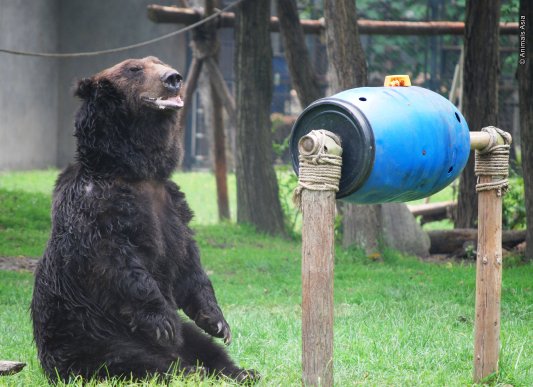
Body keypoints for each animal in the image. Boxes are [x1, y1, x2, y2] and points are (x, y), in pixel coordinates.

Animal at [30, 56, 258, 384]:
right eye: (134, 69)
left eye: (159, 61)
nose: (173, 78)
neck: (136, 172)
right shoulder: (95, 209)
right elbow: (120, 264)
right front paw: (161, 319)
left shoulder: (172, 209)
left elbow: (189, 262)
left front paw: (217, 321)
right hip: (91, 335)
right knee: (135, 362)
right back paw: (190, 369)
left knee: (202, 346)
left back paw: (241, 371)